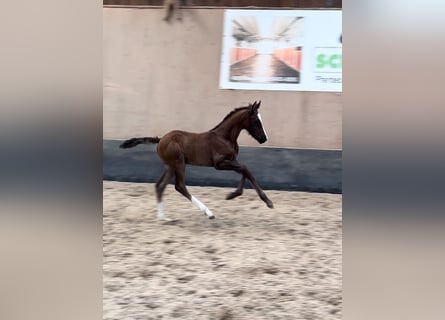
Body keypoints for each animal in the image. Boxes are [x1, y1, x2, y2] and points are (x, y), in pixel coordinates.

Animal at [121, 100, 274, 220]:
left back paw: (163, 218)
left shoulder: (232, 160)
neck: (224, 137)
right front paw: (267, 201)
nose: (264, 138)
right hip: (179, 163)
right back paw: (208, 212)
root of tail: (160, 140)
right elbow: (245, 169)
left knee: (160, 186)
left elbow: (245, 170)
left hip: (170, 166)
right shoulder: (219, 164)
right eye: (256, 121)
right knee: (180, 186)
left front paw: (233, 194)